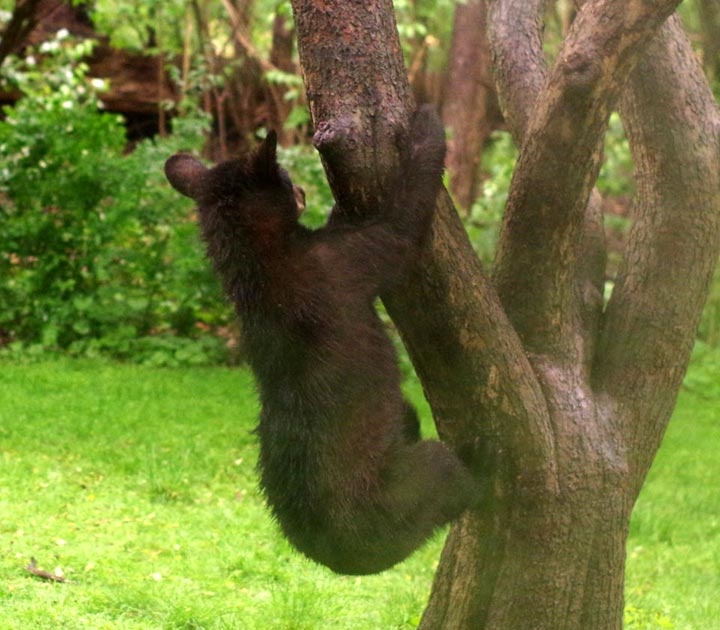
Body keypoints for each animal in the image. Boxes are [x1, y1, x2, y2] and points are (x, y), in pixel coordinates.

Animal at [164, 106, 480, 575]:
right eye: (284, 176)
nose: (300, 188)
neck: (257, 264)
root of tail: (331, 555)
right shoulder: (361, 251)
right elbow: (406, 207)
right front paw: (426, 125)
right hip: (425, 473)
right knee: (460, 485)